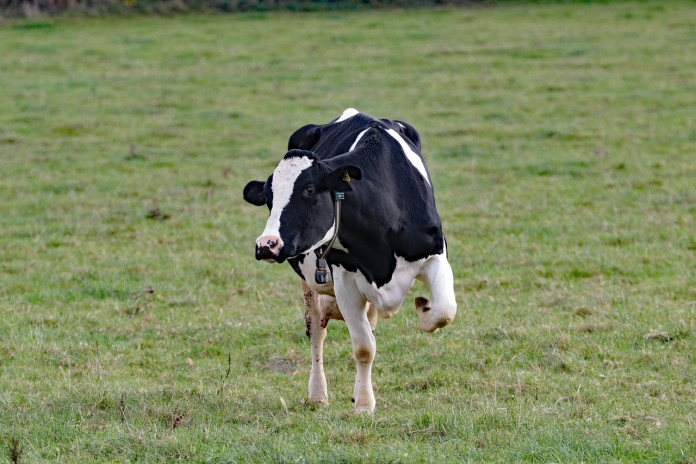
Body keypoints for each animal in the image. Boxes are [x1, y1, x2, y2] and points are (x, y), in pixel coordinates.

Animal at [243, 108, 457, 412]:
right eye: (268, 197)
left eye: (309, 190)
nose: (266, 245)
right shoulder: (343, 279)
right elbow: (364, 347)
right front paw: (364, 405)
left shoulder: (435, 254)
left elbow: (444, 311)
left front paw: (424, 308)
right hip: (310, 284)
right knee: (316, 334)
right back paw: (318, 394)